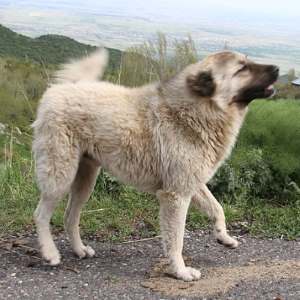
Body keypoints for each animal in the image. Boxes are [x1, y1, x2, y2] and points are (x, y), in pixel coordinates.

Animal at [32, 49, 278, 282]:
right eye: (242, 68)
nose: (277, 68)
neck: (196, 111)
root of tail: (62, 88)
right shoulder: (176, 196)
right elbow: (176, 240)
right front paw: (180, 272)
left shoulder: (192, 184)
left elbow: (217, 209)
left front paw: (223, 237)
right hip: (60, 176)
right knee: (41, 214)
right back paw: (50, 253)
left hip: (85, 180)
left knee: (70, 217)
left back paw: (79, 249)